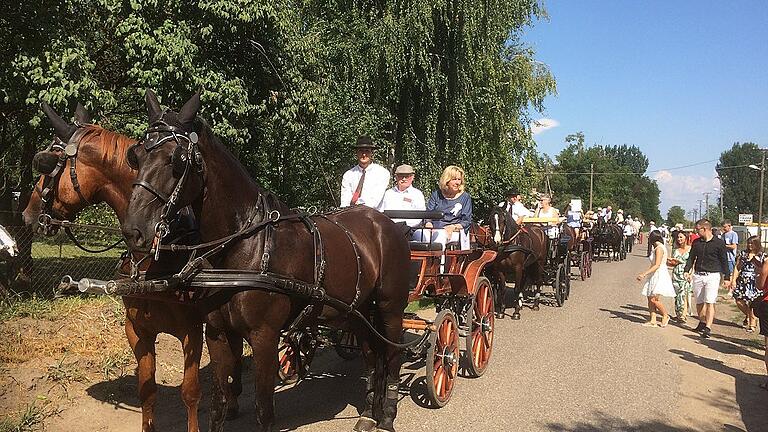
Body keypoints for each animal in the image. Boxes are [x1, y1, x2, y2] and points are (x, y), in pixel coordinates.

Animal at [21, 104, 234, 432]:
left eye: (47, 164)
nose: (27, 215)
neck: (154, 262)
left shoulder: (191, 331)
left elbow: (190, 392)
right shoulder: (137, 330)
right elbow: (147, 391)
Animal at [123, 89, 412, 430]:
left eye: (177, 160)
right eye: (135, 156)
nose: (134, 230)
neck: (244, 248)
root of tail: (386, 223)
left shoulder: (264, 337)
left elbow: (264, 409)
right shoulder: (217, 334)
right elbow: (218, 404)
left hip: (390, 307)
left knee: (391, 356)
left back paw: (387, 414)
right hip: (357, 310)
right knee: (370, 353)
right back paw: (368, 412)